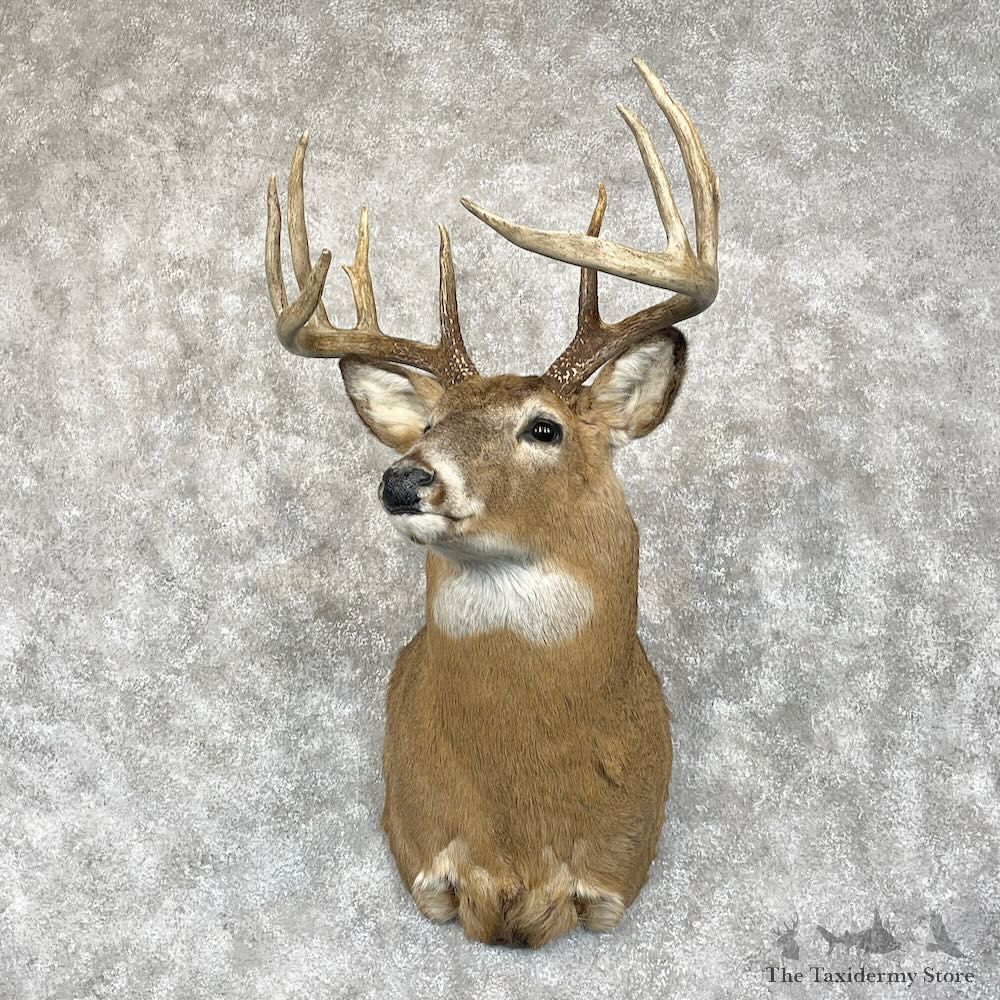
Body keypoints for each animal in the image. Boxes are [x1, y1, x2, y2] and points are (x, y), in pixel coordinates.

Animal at [264, 57, 719, 947]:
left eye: (544, 427)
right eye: (430, 423)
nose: (404, 479)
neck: (517, 837)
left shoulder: (614, 876)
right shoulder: (424, 857)